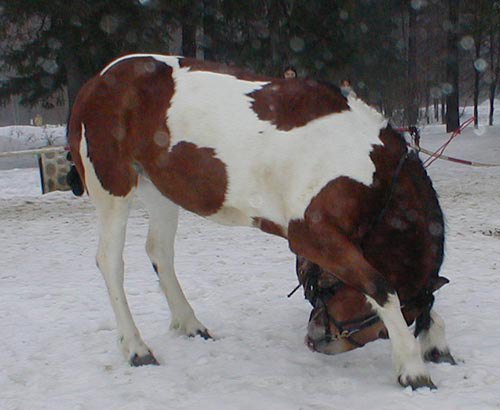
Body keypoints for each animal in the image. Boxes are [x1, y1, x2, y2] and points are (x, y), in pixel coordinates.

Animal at [67, 52, 454, 390]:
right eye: (383, 330)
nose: (315, 338)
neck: (369, 169)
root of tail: (96, 81)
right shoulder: (312, 236)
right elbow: (380, 287)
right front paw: (413, 368)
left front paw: (435, 343)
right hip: (113, 189)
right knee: (110, 262)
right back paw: (136, 348)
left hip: (160, 191)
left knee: (159, 252)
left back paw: (190, 324)